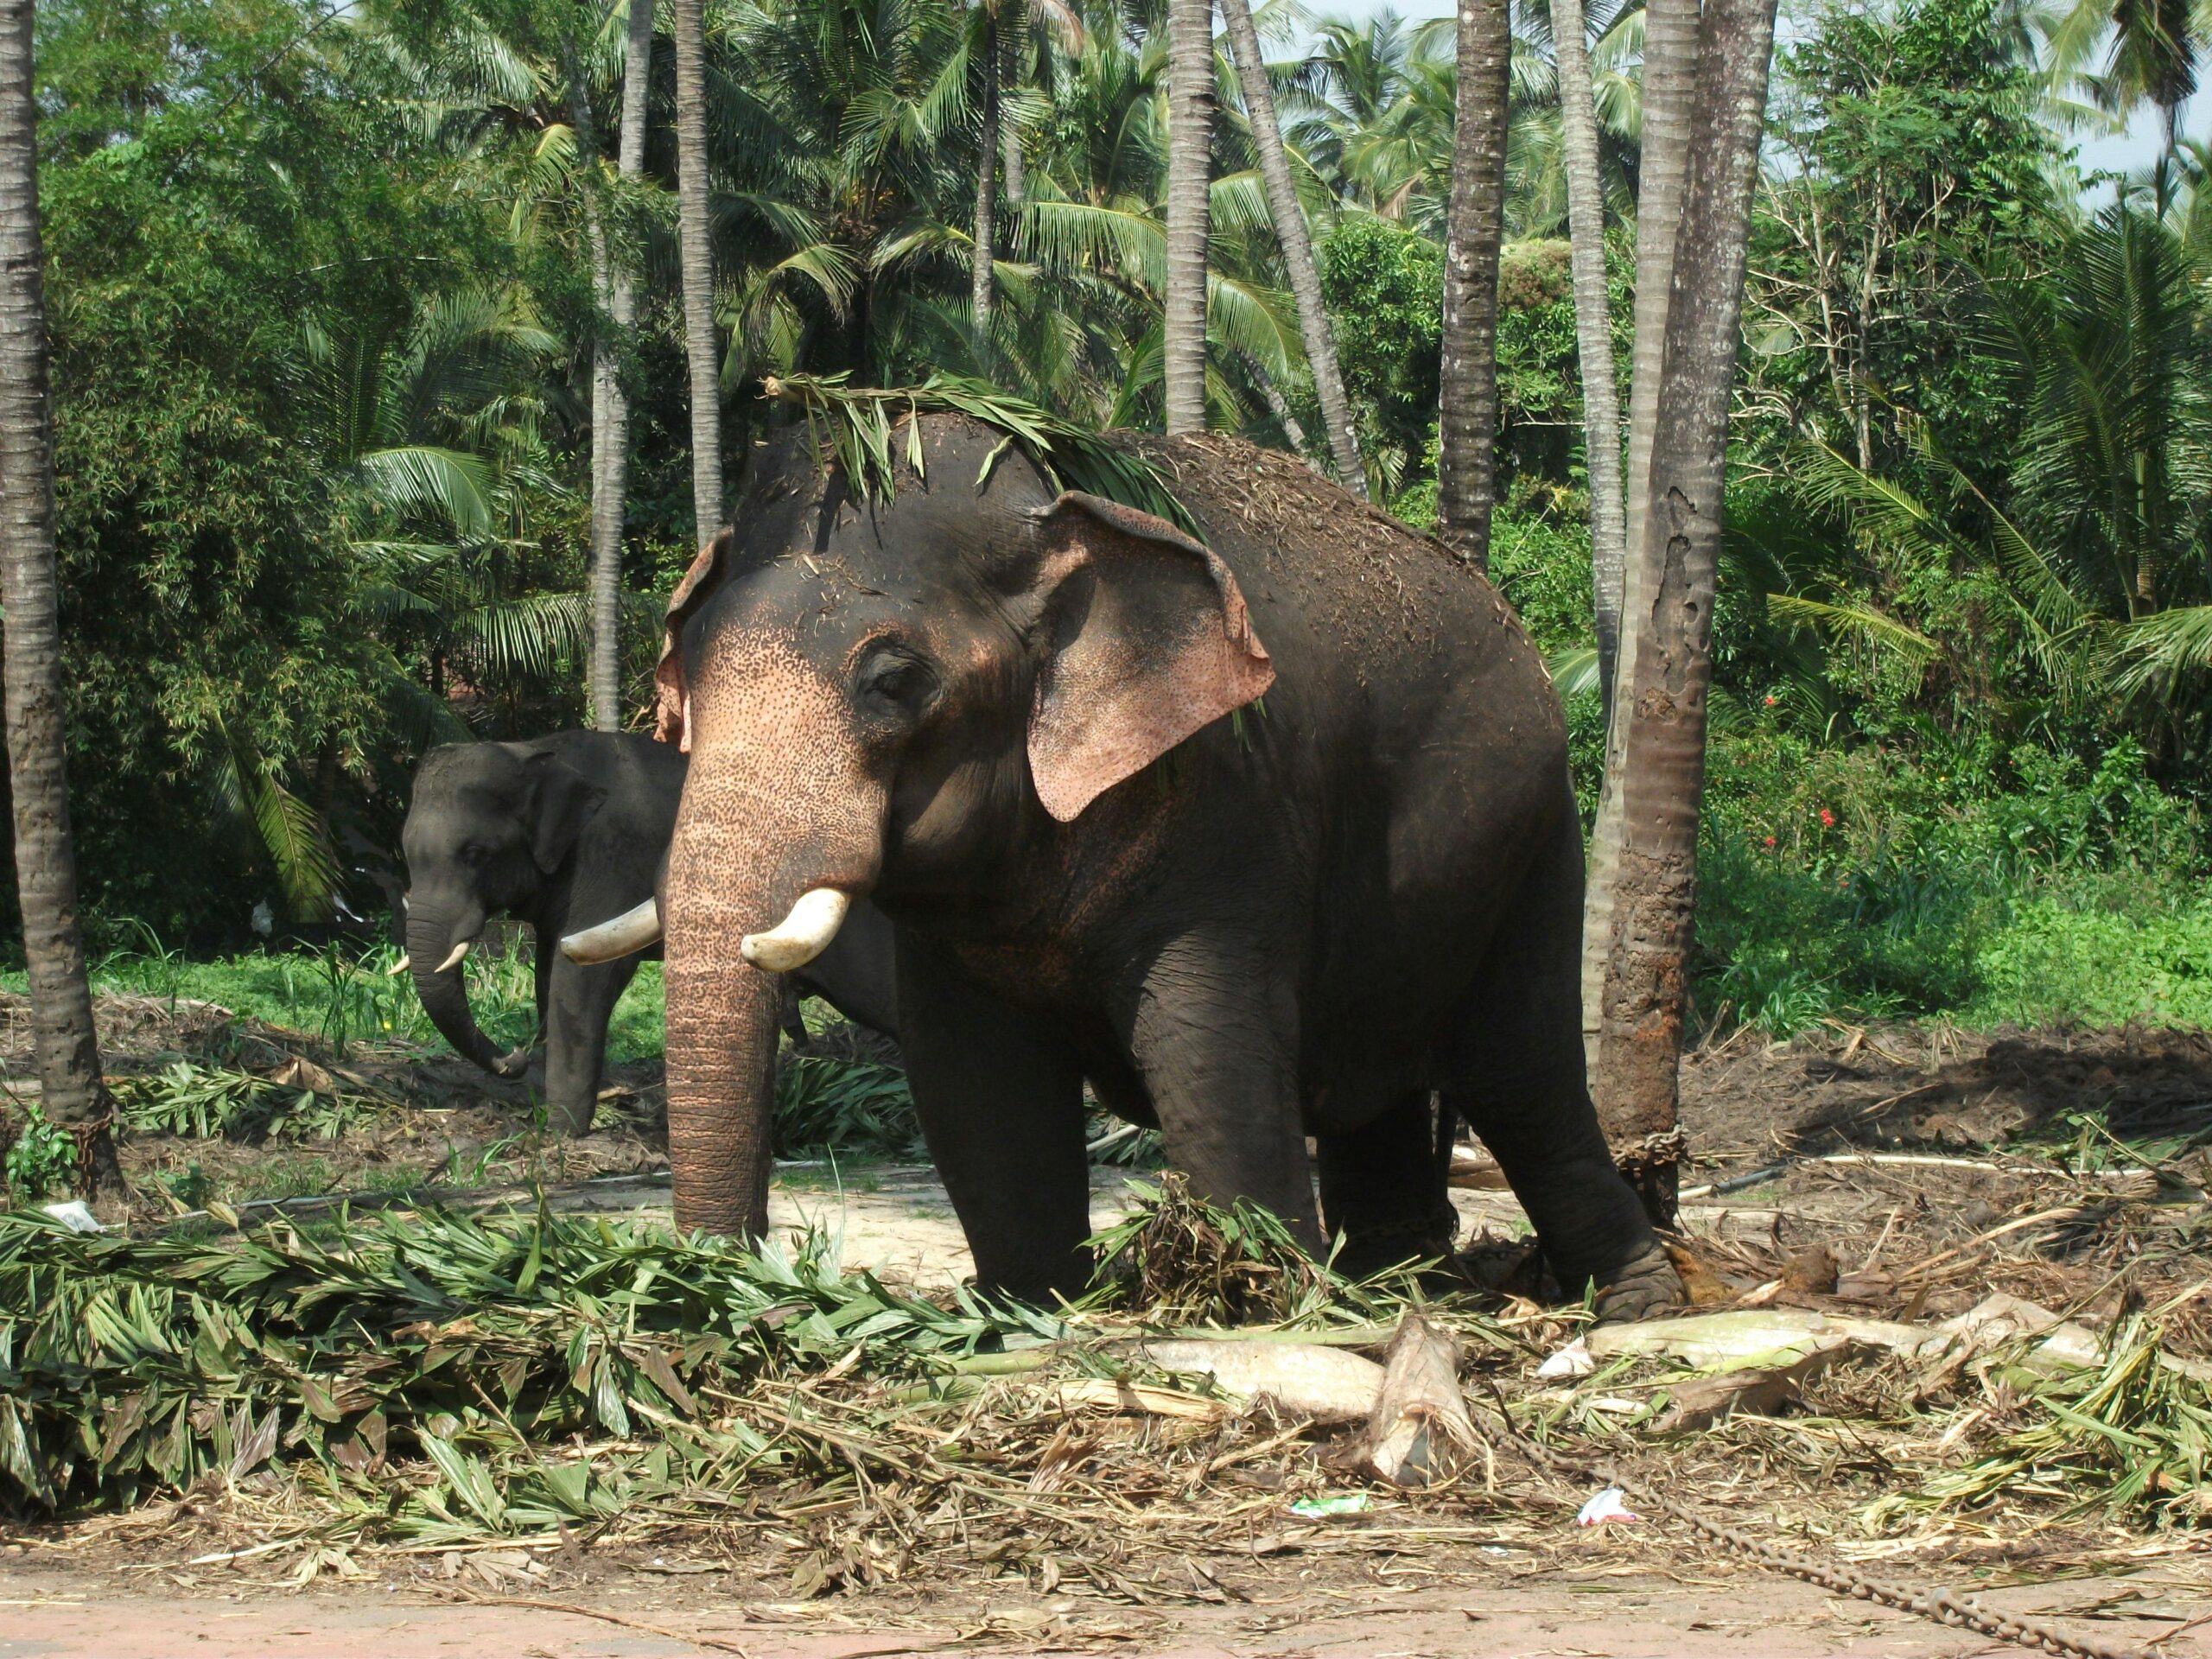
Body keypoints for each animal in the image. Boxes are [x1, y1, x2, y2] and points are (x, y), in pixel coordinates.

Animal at [400, 731, 899, 1134]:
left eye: (475, 853)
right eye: (404, 852)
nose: (516, 1056)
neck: (533, 749)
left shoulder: (611, 861)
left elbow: (583, 978)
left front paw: (560, 1133)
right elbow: (548, 971)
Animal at [613, 416, 1683, 1320]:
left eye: (893, 681)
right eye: (686, 670)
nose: (738, 1284)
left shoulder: (1227, 811)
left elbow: (1211, 1061)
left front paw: (1263, 1305)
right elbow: (974, 1091)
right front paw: (1031, 1311)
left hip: (1536, 847)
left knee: (1522, 1081)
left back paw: (1635, 1307)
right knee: (1375, 1093)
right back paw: (1401, 1289)